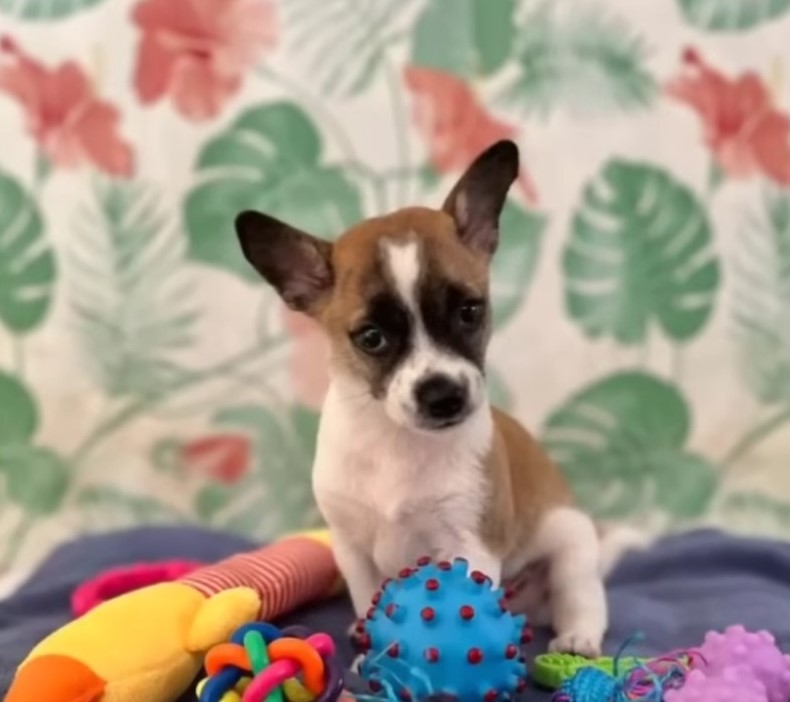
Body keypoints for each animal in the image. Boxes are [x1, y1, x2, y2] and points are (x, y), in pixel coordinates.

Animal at [237, 140, 636, 656]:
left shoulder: (469, 547)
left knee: (582, 595)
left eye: (469, 312)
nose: (444, 395)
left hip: (570, 544)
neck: (394, 437)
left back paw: (578, 637)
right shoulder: (353, 552)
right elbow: (371, 602)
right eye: (371, 338)